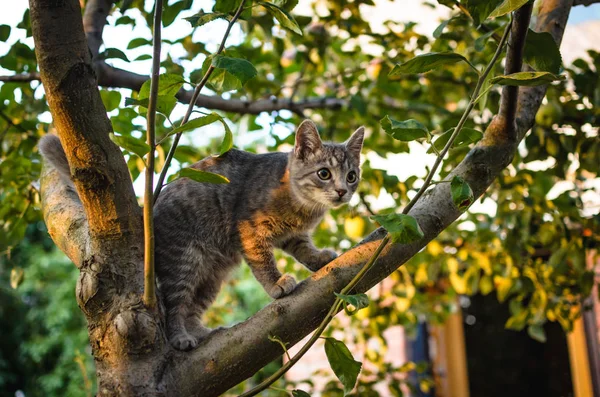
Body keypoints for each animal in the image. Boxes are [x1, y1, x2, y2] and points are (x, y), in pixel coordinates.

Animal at [41, 120, 366, 350]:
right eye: (324, 173)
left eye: (352, 176)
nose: (342, 191)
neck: (302, 206)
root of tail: (146, 211)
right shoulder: (249, 230)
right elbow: (263, 262)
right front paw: (276, 284)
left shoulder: (292, 235)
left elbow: (303, 249)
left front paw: (319, 258)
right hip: (184, 261)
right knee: (174, 306)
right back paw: (180, 338)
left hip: (211, 276)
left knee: (191, 308)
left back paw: (201, 332)